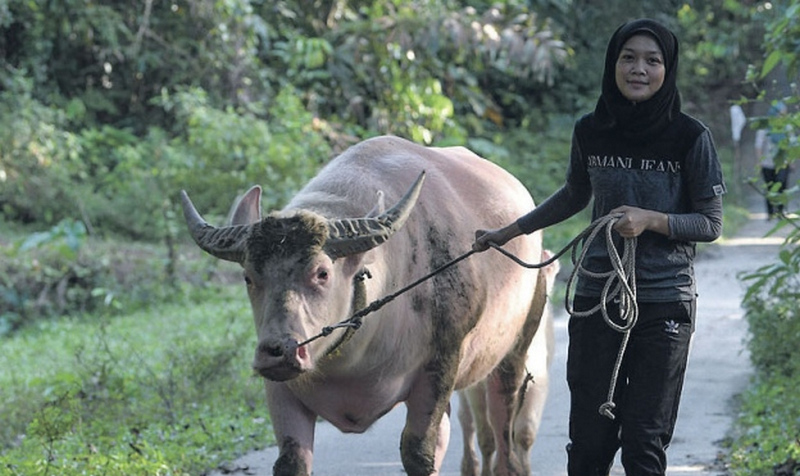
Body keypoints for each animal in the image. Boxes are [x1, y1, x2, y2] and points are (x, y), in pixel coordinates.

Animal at [180, 136, 552, 474]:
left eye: (322, 273)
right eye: (248, 277)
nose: (278, 350)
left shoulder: (442, 364)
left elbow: (417, 451)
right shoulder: (280, 389)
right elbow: (291, 459)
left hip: (516, 350)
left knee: (503, 426)